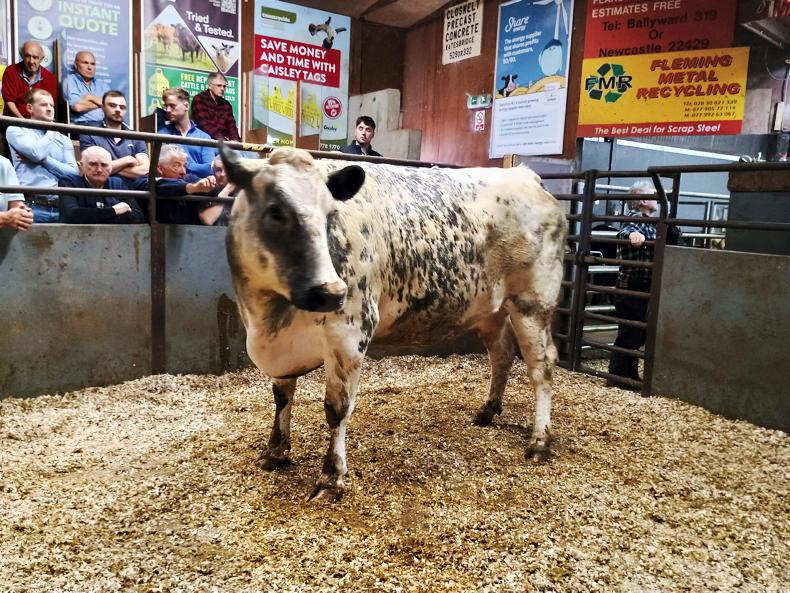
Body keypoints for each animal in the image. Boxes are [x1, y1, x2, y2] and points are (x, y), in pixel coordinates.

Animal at [220, 144, 566, 502]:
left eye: (331, 214)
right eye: (275, 210)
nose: (331, 292)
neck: (270, 317)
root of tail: (525, 174)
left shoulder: (349, 333)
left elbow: (336, 408)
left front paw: (331, 477)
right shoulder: (280, 347)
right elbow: (282, 396)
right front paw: (275, 452)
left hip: (533, 302)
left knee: (542, 367)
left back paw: (540, 441)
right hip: (490, 309)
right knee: (501, 354)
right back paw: (487, 411)